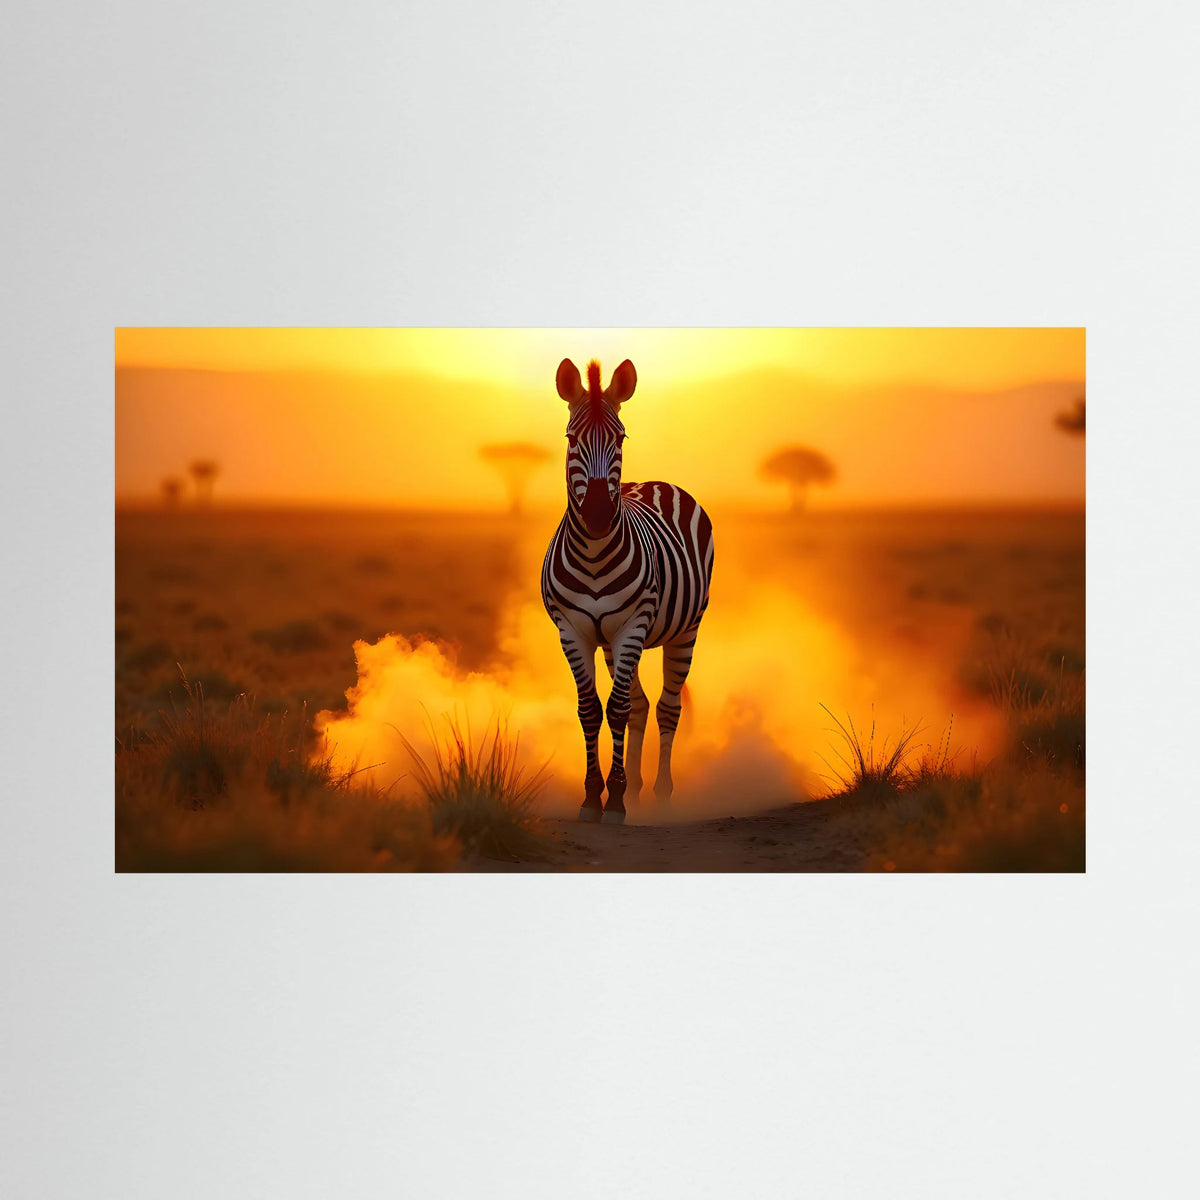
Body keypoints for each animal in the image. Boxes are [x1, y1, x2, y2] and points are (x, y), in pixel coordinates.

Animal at [541, 357, 715, 824]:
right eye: (571, 438)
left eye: (620, 438)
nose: (600, 513)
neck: (594, 553)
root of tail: (655, 483)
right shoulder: (573, 631)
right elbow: (591, 709)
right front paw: (592, 797)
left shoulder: (633, 624)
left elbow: (616, 708)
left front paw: (614, 799)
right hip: (613, 643)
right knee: (639, 706)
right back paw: (636, 789)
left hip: (685, 630)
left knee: (667, 707)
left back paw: (659, 794)